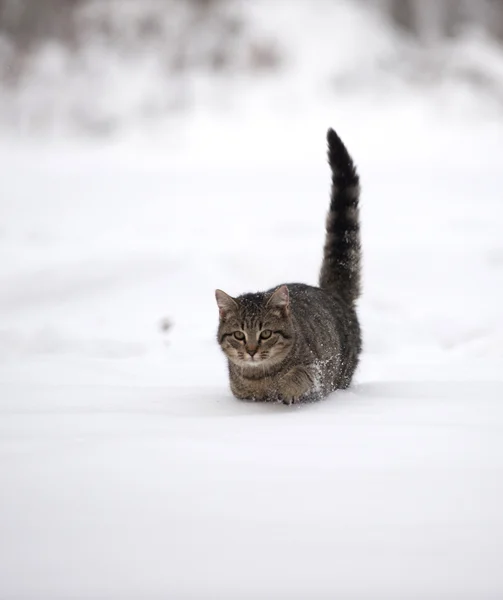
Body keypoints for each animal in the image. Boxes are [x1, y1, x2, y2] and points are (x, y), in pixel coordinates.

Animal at [217, 129, 362, 406]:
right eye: (239, 335)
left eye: (265, 334)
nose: (251, 351)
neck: (261, 376)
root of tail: (331, 294)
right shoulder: (239, 392)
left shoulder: (319, 372)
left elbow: (299, 375)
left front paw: (286, 387)